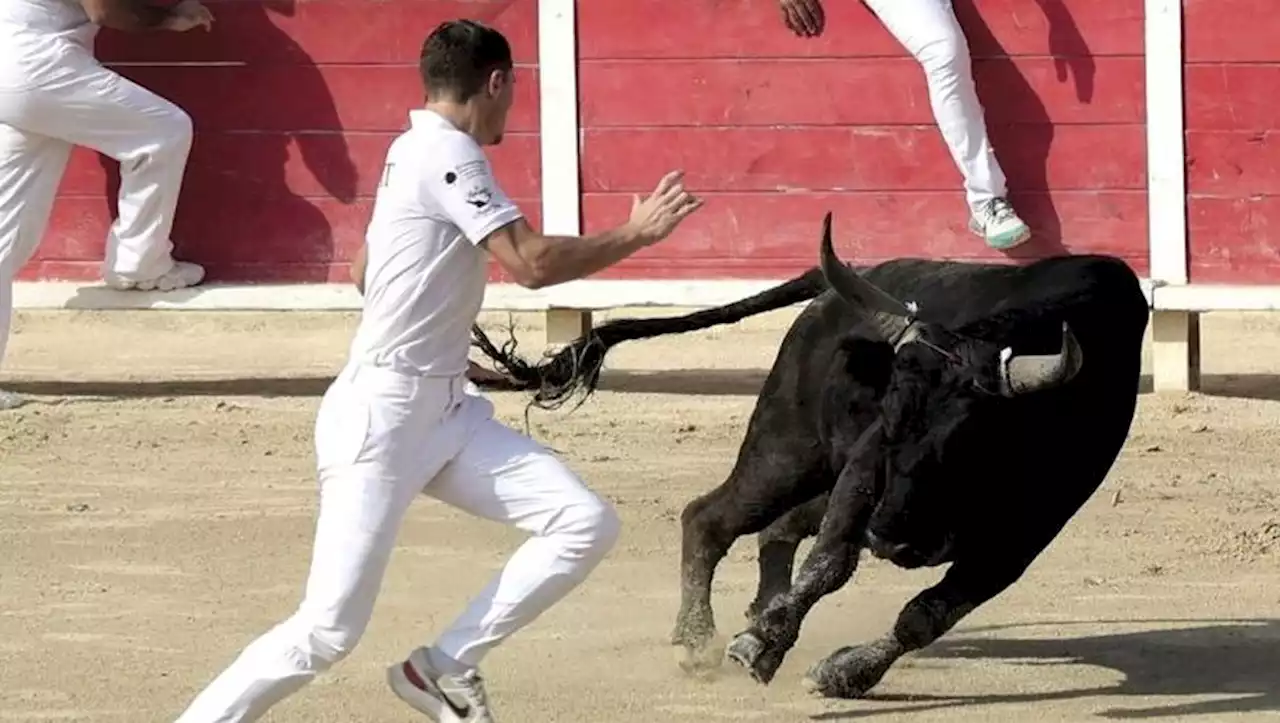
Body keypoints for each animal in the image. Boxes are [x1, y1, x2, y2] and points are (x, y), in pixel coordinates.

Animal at [473, 211, 1152, 696]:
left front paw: (843, 672)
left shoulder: (1025, 535)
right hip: (787, 452)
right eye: (889, 414)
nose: (895, 538)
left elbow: (928, 613)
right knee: (711, 518)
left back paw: (756, 611)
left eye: (966, 436)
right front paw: (759, 644)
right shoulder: (864, 470)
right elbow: (831, 562)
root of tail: (831, 290)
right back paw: (699, 640)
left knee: (775, 531)